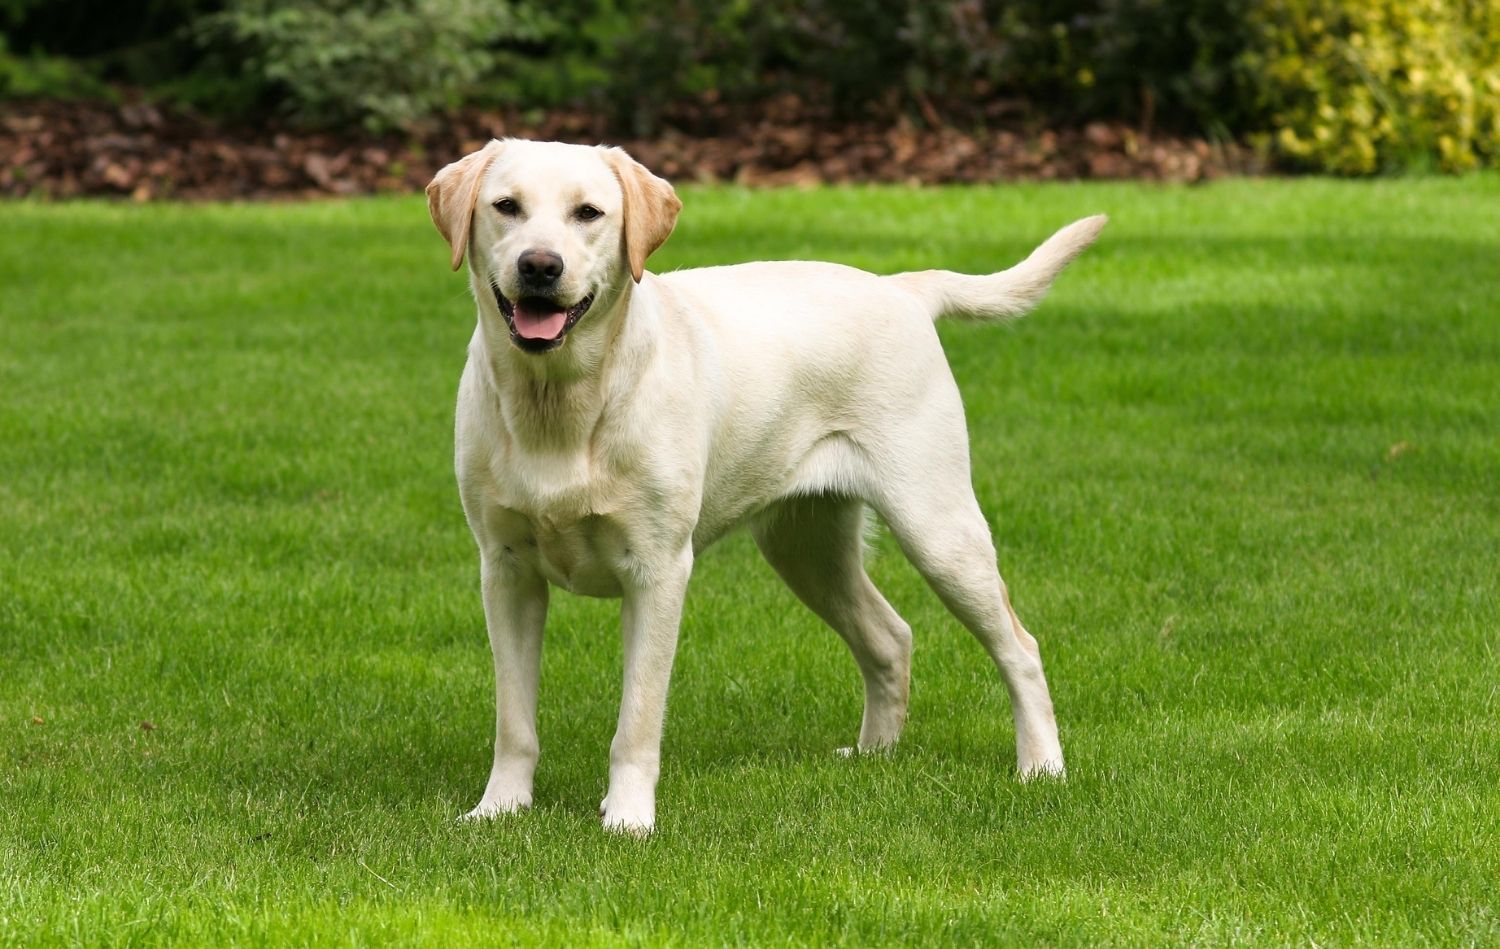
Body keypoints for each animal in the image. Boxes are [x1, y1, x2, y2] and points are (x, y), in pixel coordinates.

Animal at [429, 137, 1110, 833]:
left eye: (588, 213)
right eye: (506, 207)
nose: (540, 266)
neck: (560, 404)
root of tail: (901, 288)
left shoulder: (657, 571)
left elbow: (638, 720)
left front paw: (628, 819)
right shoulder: (506, 571)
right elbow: (514, 720)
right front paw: (499, 810)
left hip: (938, 528)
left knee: (1020, 647)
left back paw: (1041, 767)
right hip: (805, 547)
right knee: (891, 637)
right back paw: (873, 755)